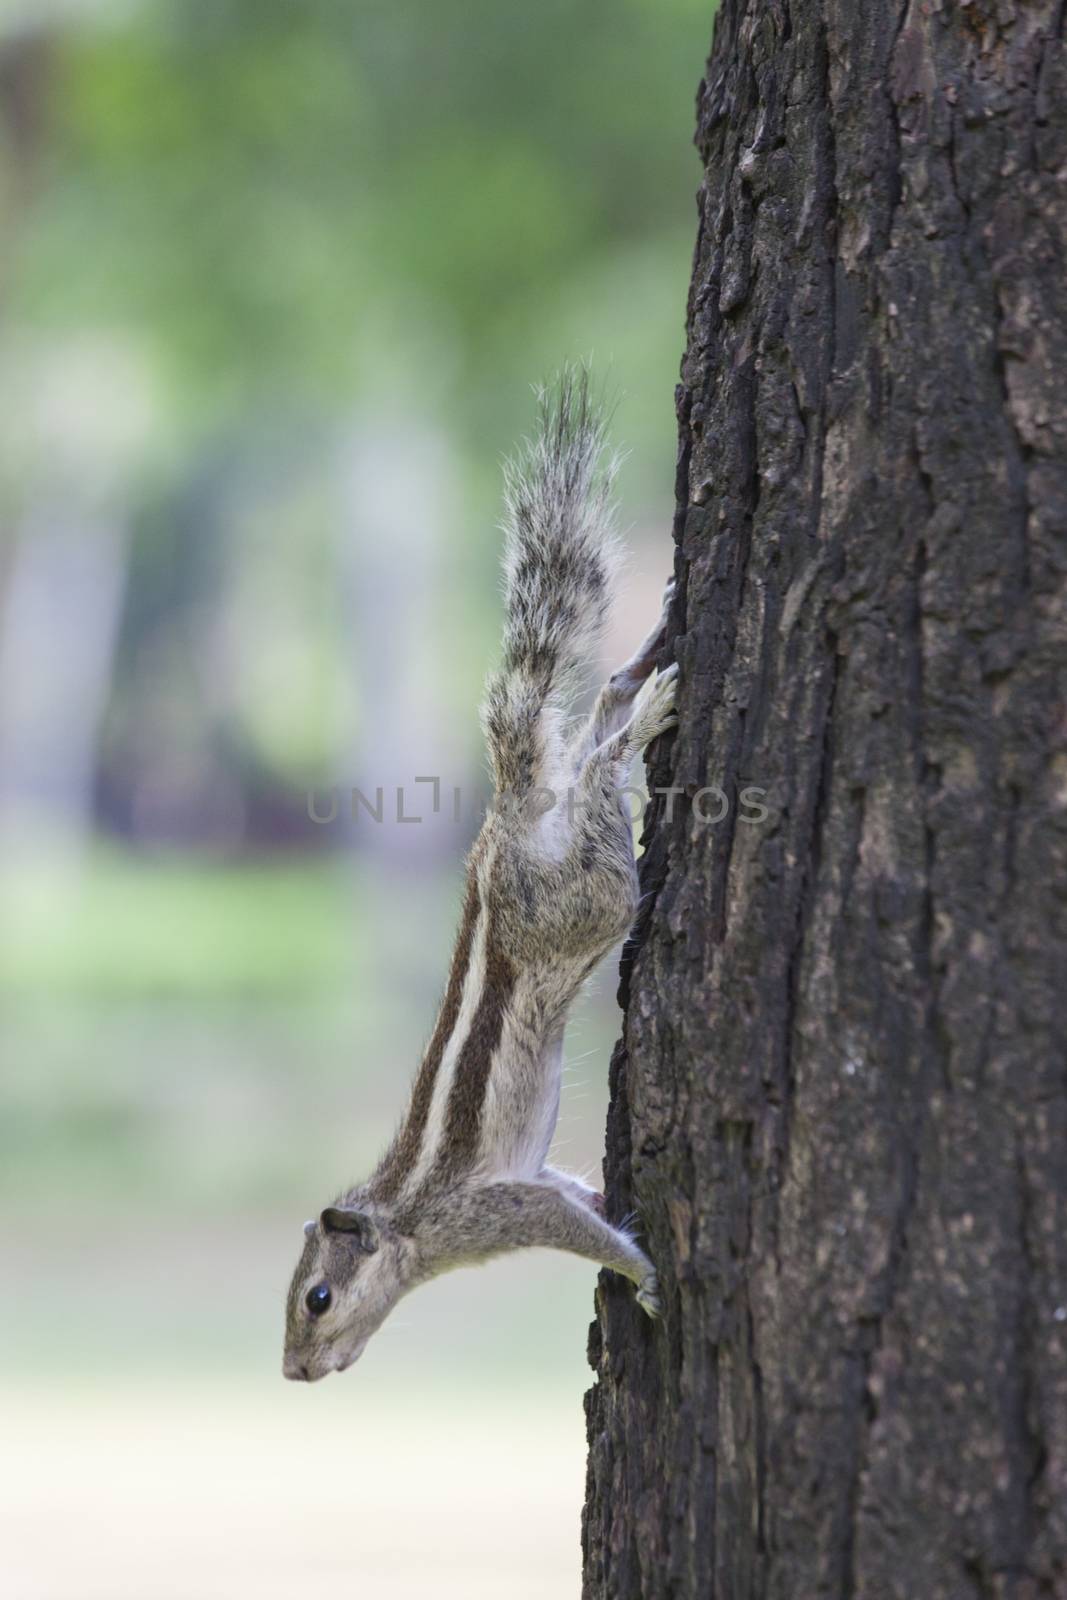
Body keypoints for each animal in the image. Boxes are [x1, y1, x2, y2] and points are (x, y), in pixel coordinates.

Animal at [281, 371, 675, 1376]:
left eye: (318, 1297)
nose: (295, 1372)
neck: (406, 1224)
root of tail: (507, 824)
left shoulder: (493, 1207)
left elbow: (575, 1228)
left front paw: (642, 1276)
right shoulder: (535, 1181)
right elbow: (574, 1194)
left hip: (583, 899)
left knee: (598, 784)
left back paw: (643, 720)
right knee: (586, 722)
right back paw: (639, 673)